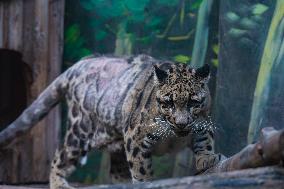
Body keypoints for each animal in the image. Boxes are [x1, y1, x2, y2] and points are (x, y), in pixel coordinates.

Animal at [0, 54, 222, 189]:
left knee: (117, 171)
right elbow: (141, 169)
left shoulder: (203, 124)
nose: (181, 123)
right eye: (168, 103)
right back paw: (59, 184)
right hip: (79, 133)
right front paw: (145, 182)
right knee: (59, 157)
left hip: (114, 144)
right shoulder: (135, 138)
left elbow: (205, 143)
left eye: (193, 102)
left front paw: (207, 158)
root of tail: (79, 64)